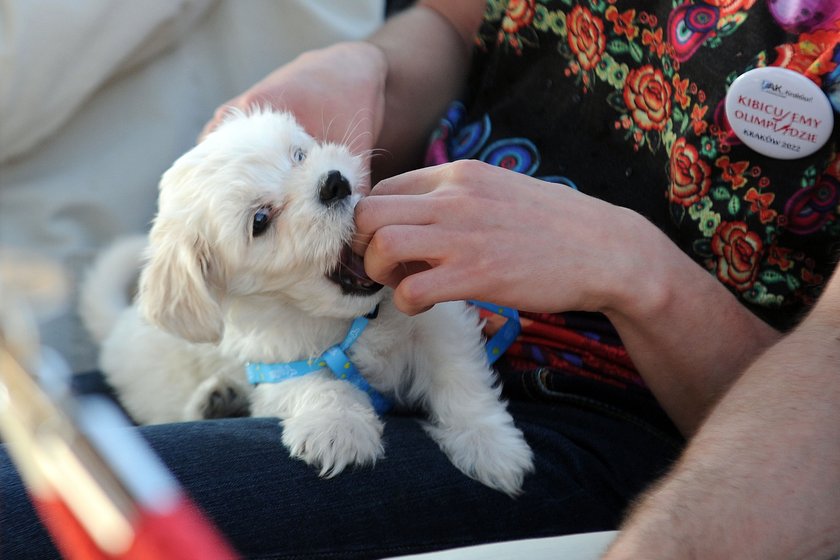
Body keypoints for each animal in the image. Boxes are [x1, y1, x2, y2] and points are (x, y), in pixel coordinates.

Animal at [83, 109, 532, 494]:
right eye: (260, 221)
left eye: (298, 155)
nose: (333, 182)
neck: (352, 321)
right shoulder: (275, 363)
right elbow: (317, 384)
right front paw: (337, 429)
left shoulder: (438, 320)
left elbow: (459, 376)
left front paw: (489, 444)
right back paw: (215, 402)